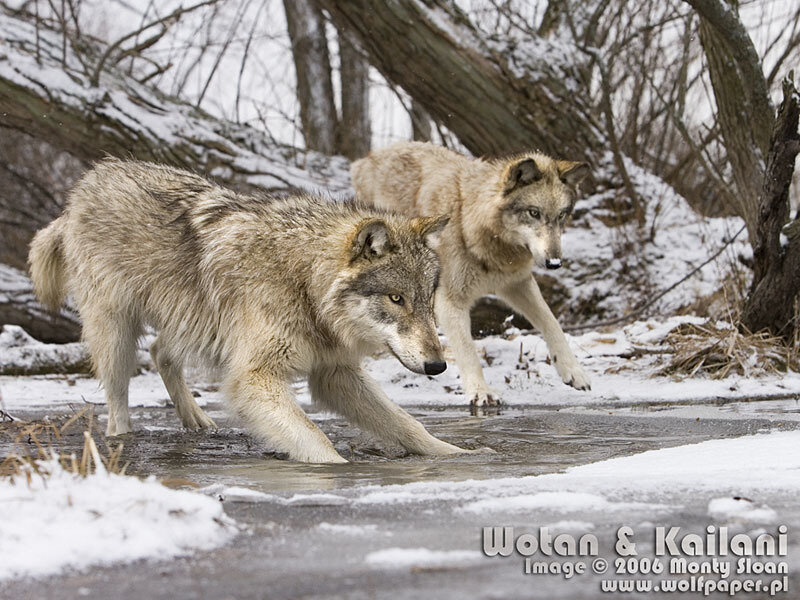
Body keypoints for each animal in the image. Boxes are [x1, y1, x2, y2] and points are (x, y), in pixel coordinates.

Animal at [28, 158, 477, 463]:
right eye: (396, 299)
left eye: (426, 299)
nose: (438, 366)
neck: (303, 282)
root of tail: (85, 184)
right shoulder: (254, 376)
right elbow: (315, 438)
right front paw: (335, 467)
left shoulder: (334, 373)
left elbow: (406, 423)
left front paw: (458, 455)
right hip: (117, 332)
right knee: (117, 395)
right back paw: (121, 437)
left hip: (188, 320)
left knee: (160, 352)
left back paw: (196, 419)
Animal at [352, 141, 591, 406]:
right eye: (534, 213)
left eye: (561, 215)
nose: (554, 262)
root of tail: (368, 156)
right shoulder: (450, 302)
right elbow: (468, 350)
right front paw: (480, 392)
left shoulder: (518, 283)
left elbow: (552, 323)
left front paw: (574, 372)